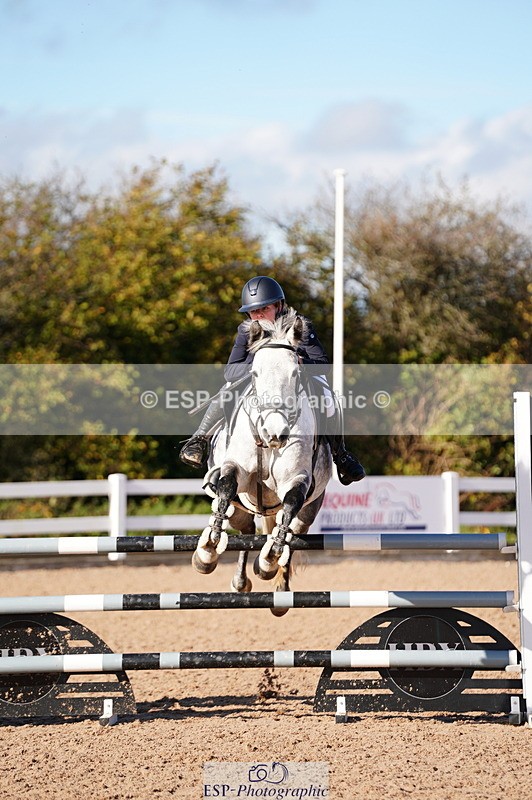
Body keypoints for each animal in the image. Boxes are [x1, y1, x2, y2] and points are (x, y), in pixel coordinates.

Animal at [191, 309, 332, 614]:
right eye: (254, 373)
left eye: (295, 373)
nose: (275, 433)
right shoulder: (237, 470)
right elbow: (227, 487)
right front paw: (207, 549)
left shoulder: (297, 480)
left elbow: (290, 507)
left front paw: (269, 560)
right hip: (243, 506)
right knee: (245, 531)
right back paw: (238, 579)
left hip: (310, 508)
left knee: (291, 531)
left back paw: (278, 588)